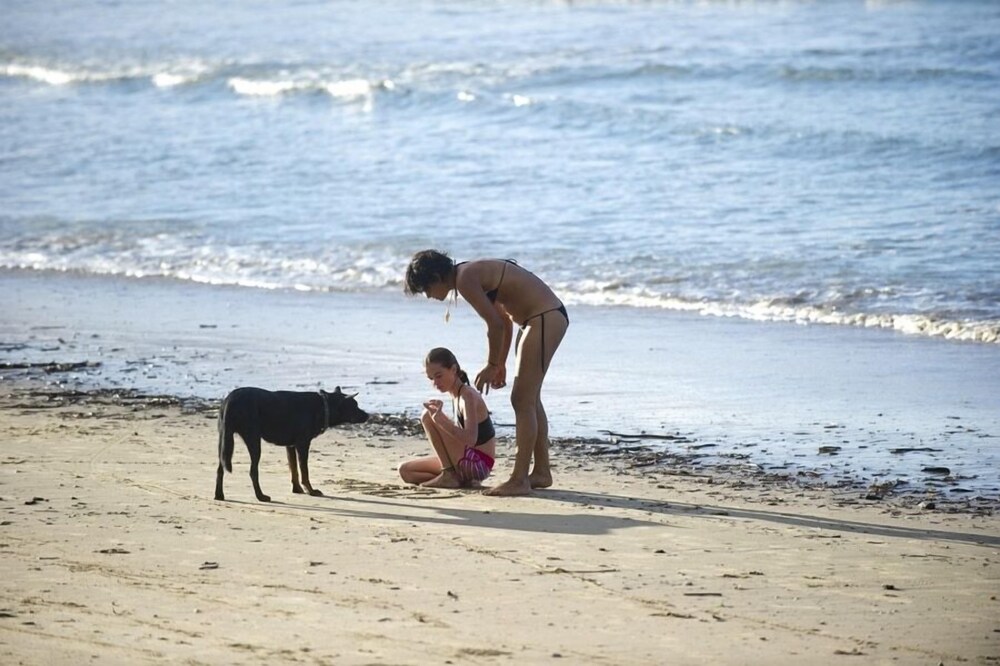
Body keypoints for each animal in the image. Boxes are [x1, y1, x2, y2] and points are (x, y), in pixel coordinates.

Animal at [214, 386, 368, 500]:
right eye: (355, 405)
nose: (367, 415)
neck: (324, 406)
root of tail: (230, 399)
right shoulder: (303, 444)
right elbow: (304, 471)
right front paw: (311, 491)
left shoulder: (291, 446)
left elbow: (294, 469)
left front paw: (297, 489)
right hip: (253, 440)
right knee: (253, 471)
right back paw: (261, 496)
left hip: (224, 440)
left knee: (220, 469)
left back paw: (219, 495)